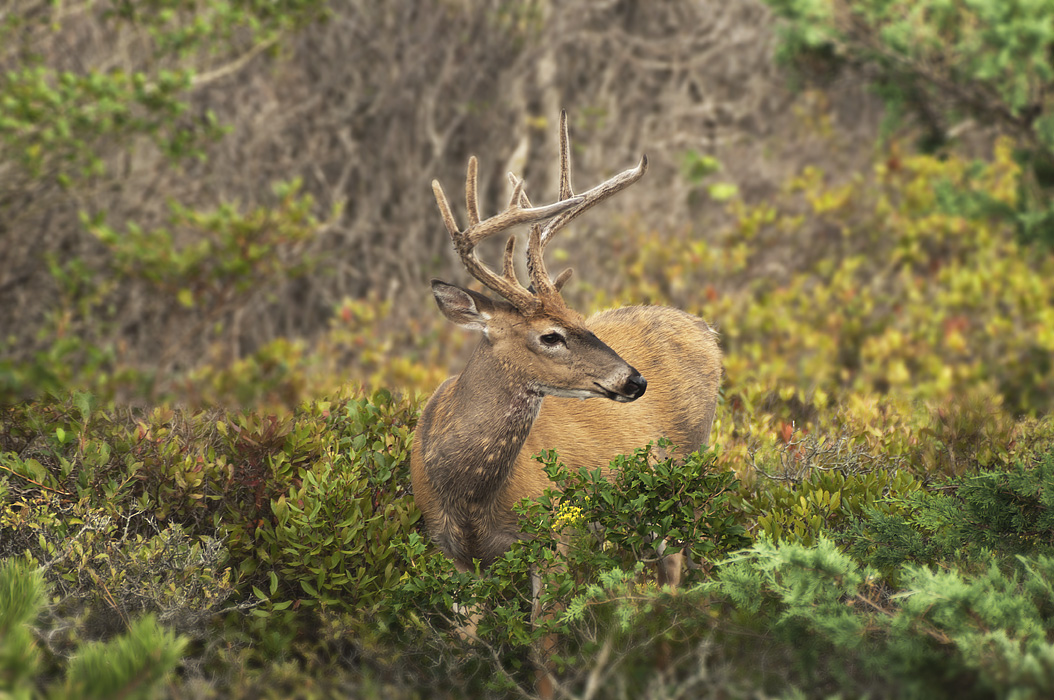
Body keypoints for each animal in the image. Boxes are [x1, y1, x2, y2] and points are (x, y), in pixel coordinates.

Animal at [406, 109, 720, 695]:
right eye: (551, 335)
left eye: (578, 317)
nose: (634, 381)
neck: (469, 492)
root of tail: (707, 330)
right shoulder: (452, 554)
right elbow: (463, 653)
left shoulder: (556, 537)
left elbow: (543, 656)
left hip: (680, 478)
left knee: (672, 577)